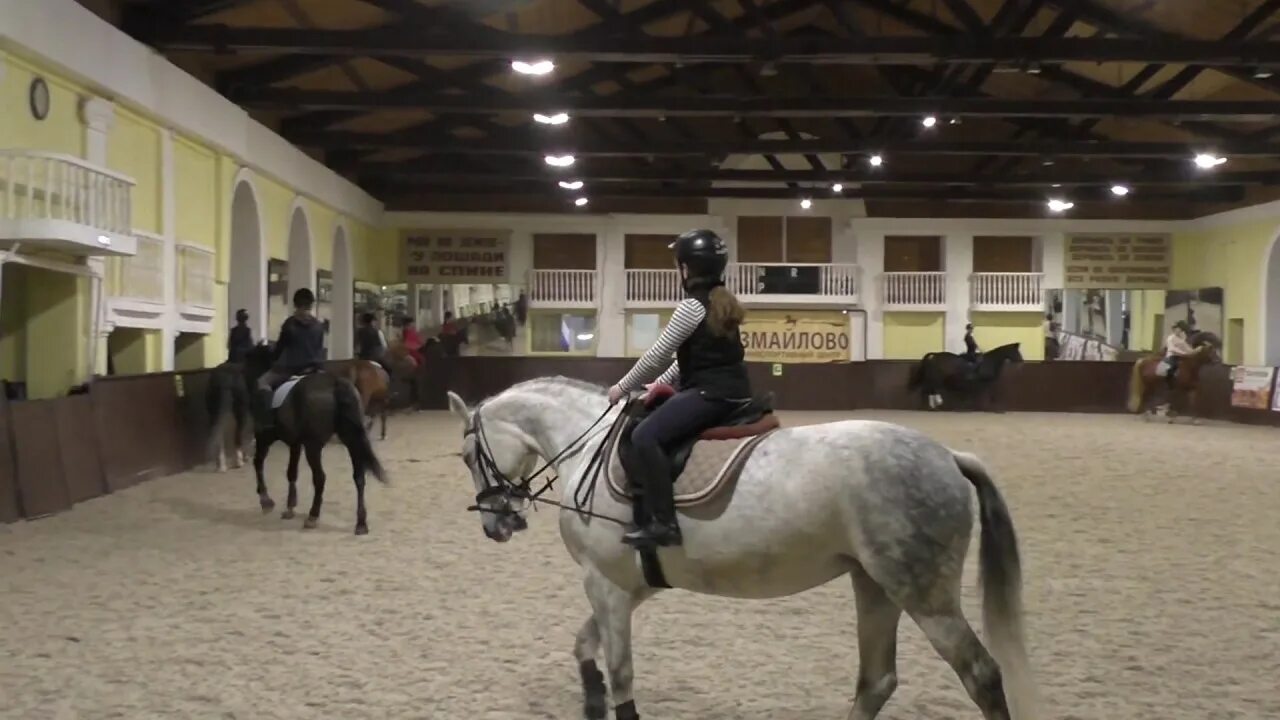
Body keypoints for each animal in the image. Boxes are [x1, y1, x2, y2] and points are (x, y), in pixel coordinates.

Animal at [241, 340, 386, 532]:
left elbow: (258, 463)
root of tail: (336, 383)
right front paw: (290, 507)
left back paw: (312, 516)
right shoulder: (295, 443)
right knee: (359, 477)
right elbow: (291, 472)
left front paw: (266, 501)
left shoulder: (264, 437)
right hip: (351, 439)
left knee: (320, 477)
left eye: (248, 363)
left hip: (313, 446)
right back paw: (361, 523)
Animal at [445, 376, 1034, 717]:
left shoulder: (606, 583)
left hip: (922, 593)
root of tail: (948, 456)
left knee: (980, 675)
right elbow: (584, 647)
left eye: (470, 455)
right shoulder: (629, 585)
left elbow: (621, 672)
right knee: (877, 680)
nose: (496, 524)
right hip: (875, 584)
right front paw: (590, 701)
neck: (587, 446)